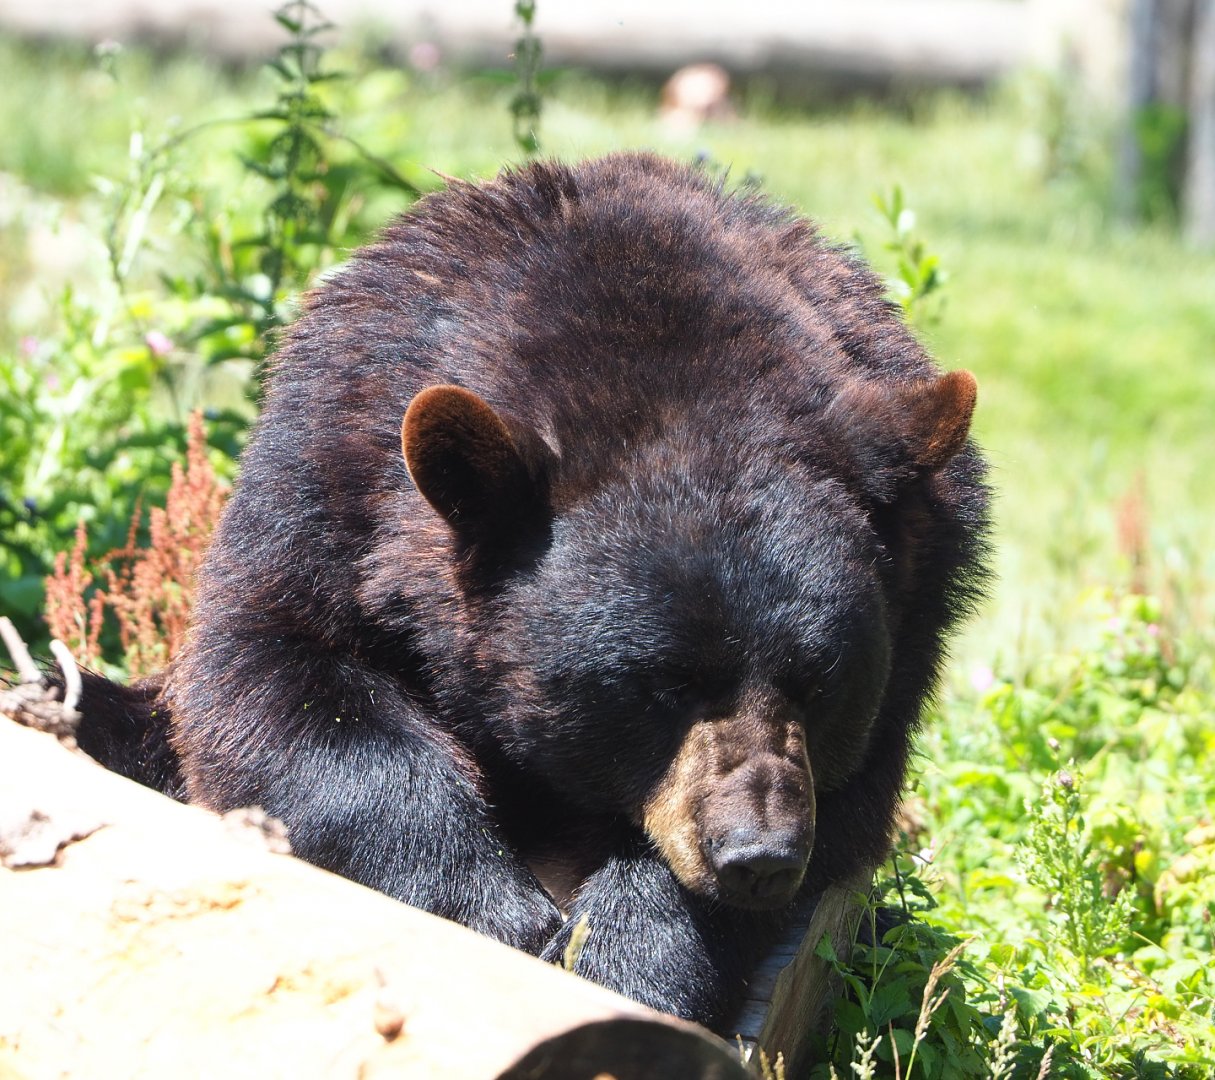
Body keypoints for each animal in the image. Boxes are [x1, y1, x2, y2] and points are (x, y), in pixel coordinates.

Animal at [70, 152, 989, 1030]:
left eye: (821, 682)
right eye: (662, 686)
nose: (756, 856)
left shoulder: (917, 615)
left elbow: (842, 808)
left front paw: (625, 960)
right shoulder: (327, 486)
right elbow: (279, 690)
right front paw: (497, 917)